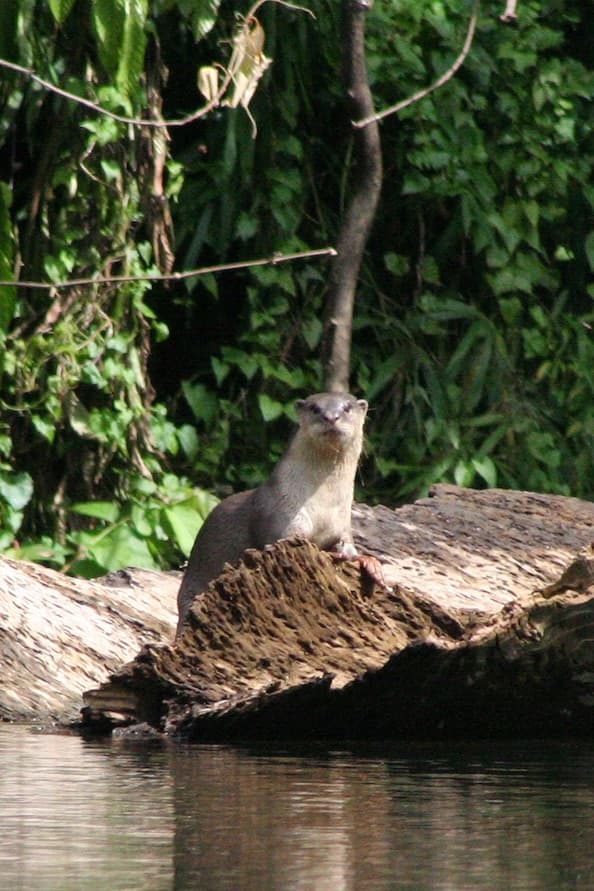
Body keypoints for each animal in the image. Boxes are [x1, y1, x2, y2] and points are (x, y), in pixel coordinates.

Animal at [175, 392, 369, 637]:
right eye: (315, 408)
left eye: (347, 408)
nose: (331, 417)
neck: (323, 505)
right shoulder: (280, 513)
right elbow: (287, 539)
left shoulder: (342, 522)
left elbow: (347, 544)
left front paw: (364, 560)